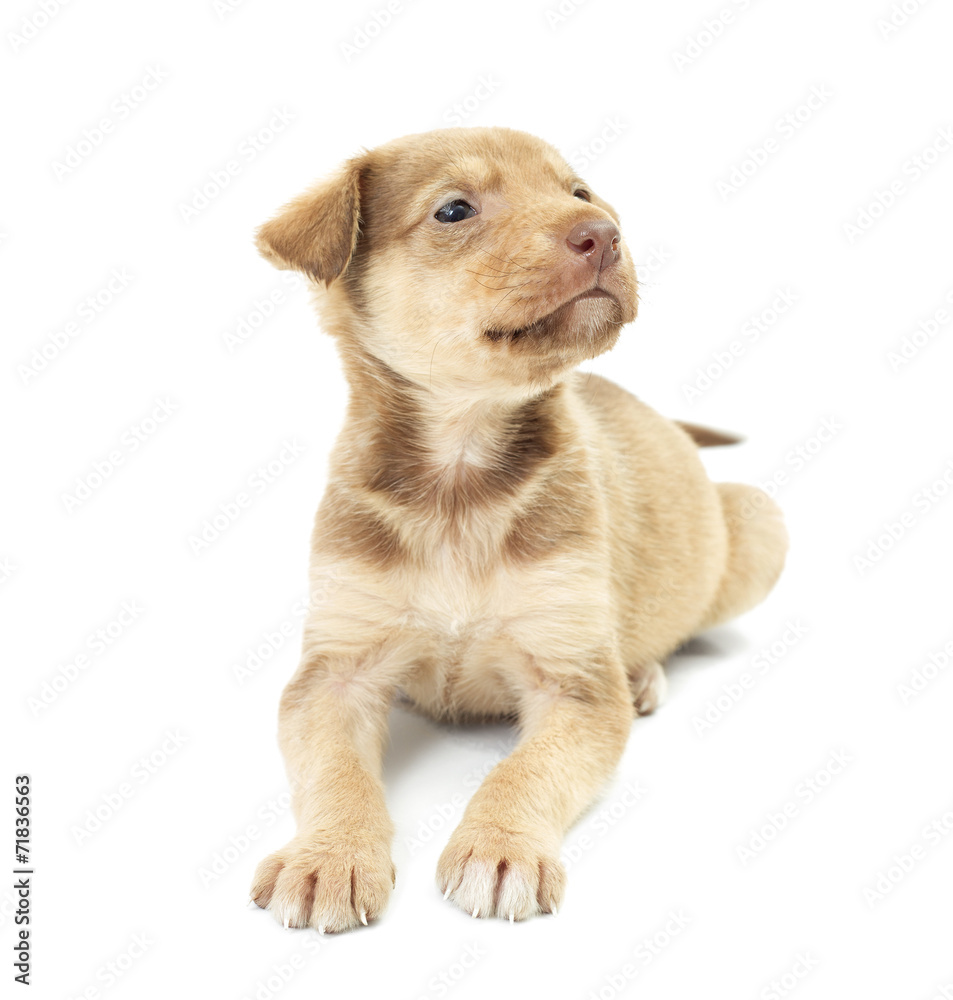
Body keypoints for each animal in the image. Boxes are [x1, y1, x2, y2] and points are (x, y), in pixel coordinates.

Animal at [249, 125, 784, 928]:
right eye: (454, 210)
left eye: (579, 192)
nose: (605, 234)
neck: (458, 478)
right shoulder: (335, 673)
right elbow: (334, 773)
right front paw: (328, 855)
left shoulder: (575, 684)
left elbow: (525, 769)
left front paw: (499, 850)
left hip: (759, 522)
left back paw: (642, 671)